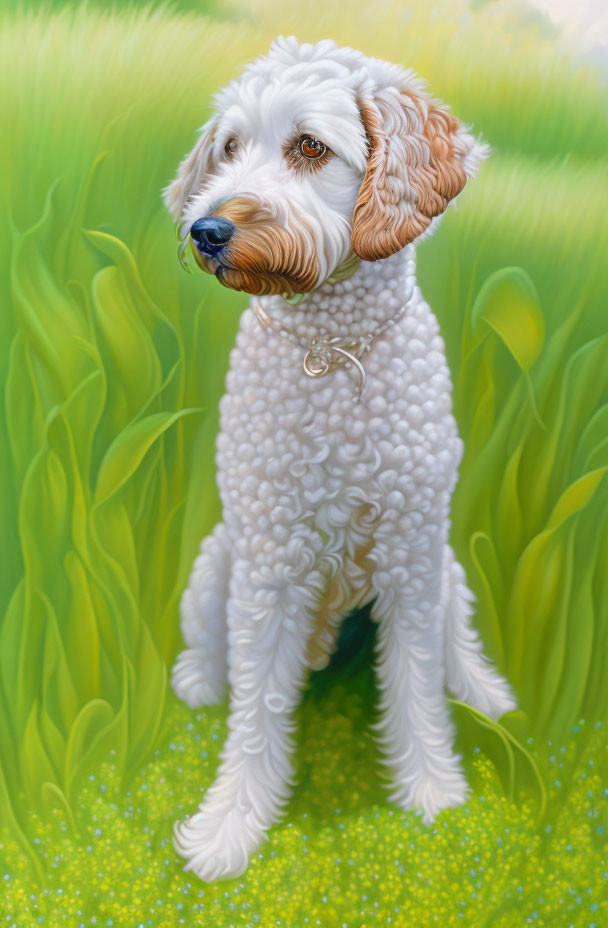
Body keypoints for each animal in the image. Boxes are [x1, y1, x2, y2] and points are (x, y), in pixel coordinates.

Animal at [164, 36, 516, 880]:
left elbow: (417, 678)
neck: (334, 352)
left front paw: (432, 793)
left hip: (446, 563)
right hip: (214, 565)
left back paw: (486, 690)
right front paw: (231, 827)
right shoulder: (267, 564)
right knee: (216, 648)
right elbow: (258, 704)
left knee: (455, 636)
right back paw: (198, 679)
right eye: (229, 148)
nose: (206, 230)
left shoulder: (412, 556)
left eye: (310, 147)